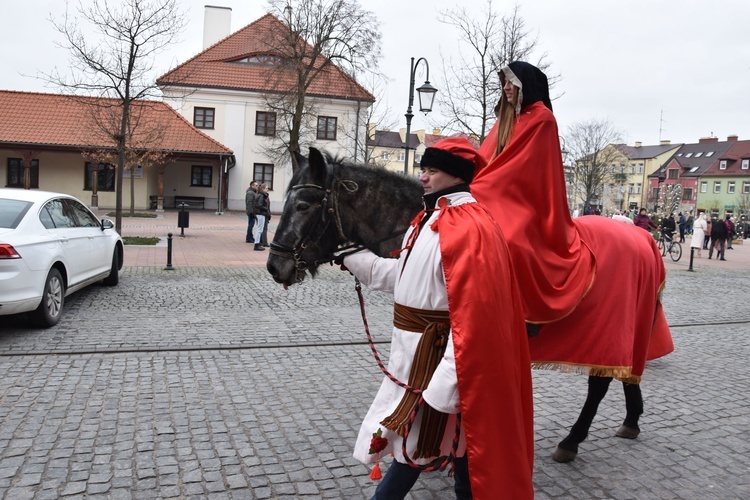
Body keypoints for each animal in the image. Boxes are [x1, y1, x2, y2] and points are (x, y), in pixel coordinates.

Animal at [268, 146, 668, 462]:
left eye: (303, 204)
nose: (275, 265)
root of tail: (640, 236)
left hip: (607, 333)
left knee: (600, 385)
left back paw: (573, 440)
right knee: (626, 374)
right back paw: (631, 419)